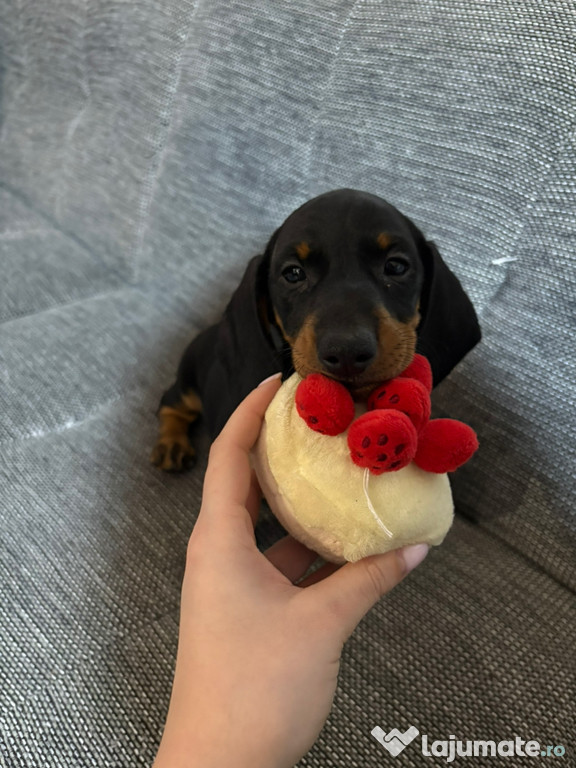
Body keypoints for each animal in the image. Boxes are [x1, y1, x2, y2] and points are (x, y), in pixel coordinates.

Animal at [151, 188, 481, 472]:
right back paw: (171, 443)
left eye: (396, 266)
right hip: (189, 382)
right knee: (170, 402)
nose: (347, 352)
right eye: (293, 273)